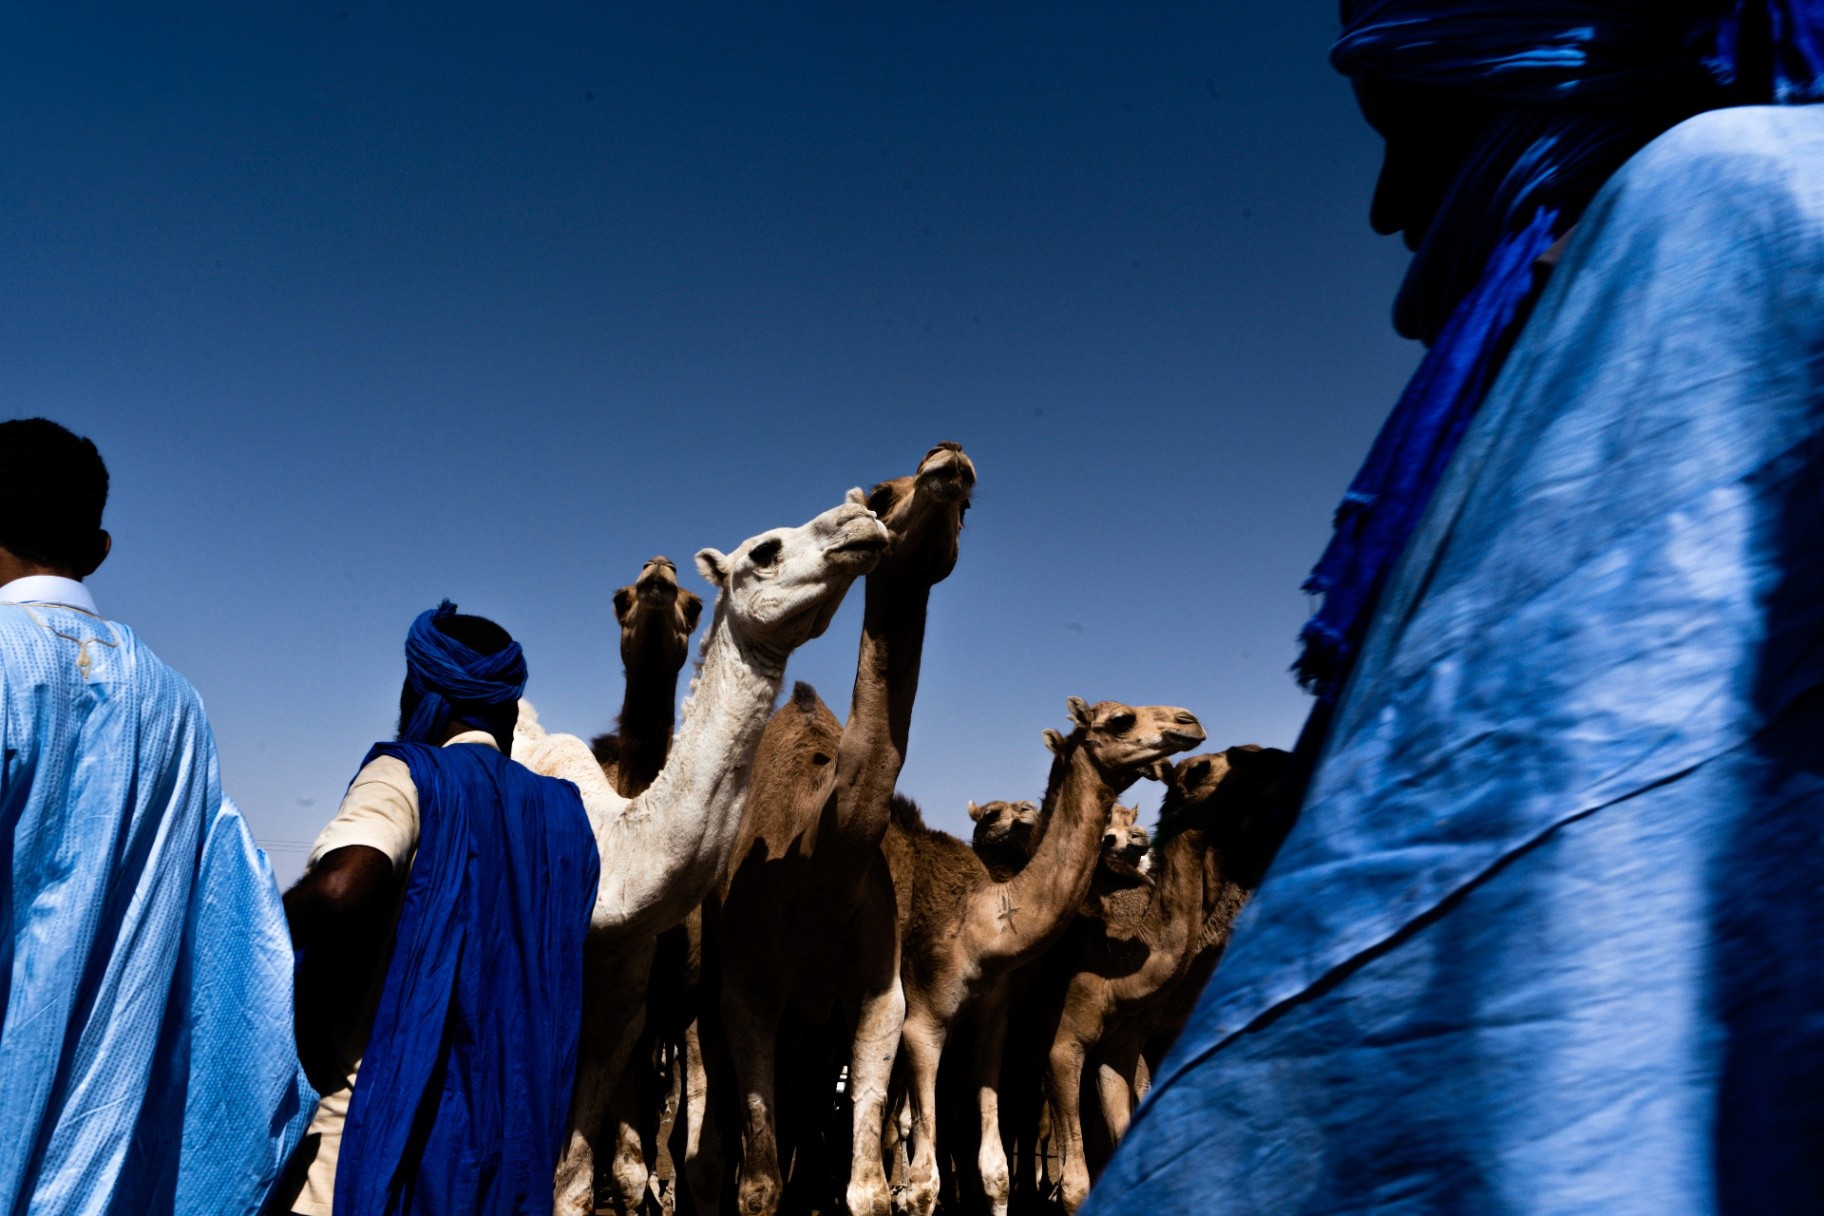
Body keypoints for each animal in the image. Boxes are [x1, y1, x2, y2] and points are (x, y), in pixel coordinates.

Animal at [711, 442, 976, 1216]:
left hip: (816, 1033)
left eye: (968, 507)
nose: (949, 458)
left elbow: (868, 1187)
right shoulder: (746, 994)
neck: (819, 860)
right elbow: (759, 1184)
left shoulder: (876, 997)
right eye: (884, 494)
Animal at [883, 697, 1205, 1216]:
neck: (984, 928)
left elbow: (994, 1170)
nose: (1188, 721)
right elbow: (924, 1181)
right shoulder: (925, 1022)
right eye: (1120, 720)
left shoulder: (994, 1023)